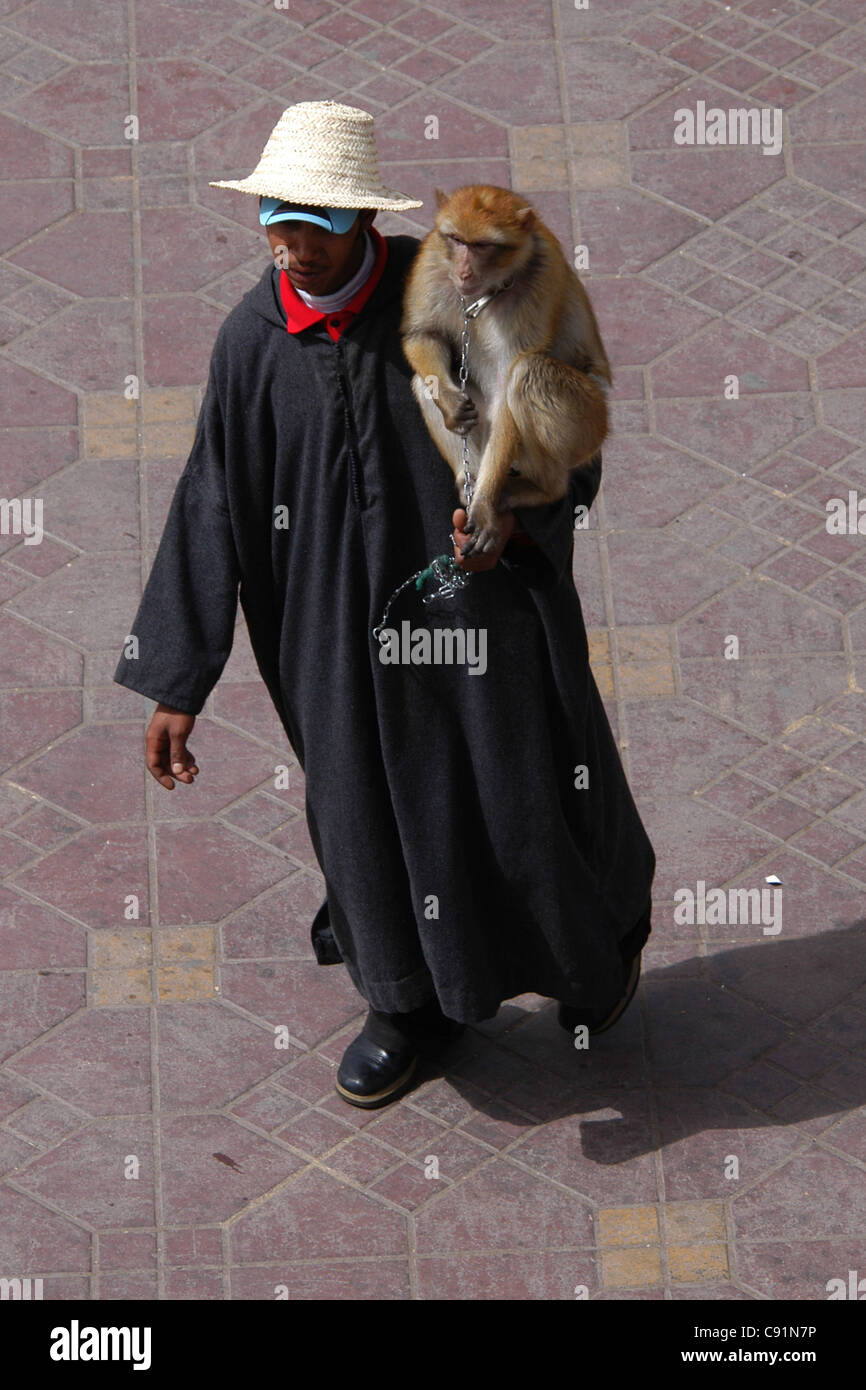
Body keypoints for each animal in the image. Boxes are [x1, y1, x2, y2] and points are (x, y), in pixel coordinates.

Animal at [400, 184, 608, 553]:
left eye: (482, 245)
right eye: (457, 240)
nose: (464, 273)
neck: (491, 289)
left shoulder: (539, 281)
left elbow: (506, 381)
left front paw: (483, 507)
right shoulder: (432, 259)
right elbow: (424, 335)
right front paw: (451, 405)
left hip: (589, 428)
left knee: (528, 373)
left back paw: (542, 489)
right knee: (424, 384)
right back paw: (466, 481)